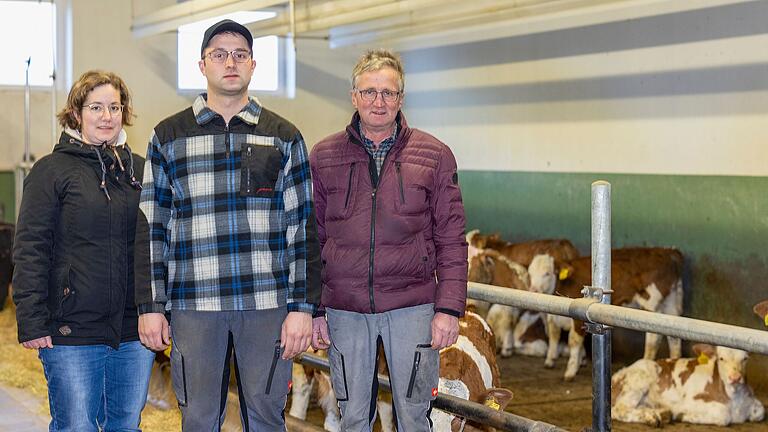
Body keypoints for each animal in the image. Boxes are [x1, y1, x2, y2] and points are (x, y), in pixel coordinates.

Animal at [528, 248, 684, 380]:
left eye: (547, 273)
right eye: (530, 273)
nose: (533, 289)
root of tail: (668, 251)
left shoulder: (577, 316)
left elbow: (573, 340)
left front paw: (571, 370)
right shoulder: (554, 317)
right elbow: (554, 334)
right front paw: (553, 360)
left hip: (650, 303)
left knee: (653, 336)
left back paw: (646, 361)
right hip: (670, 302)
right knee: (673, 336)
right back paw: (674, 361)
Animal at [608, 342, 764, 426]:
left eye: (745, 358)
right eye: (721, 358)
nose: (735, 377)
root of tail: (618, 374)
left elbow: (760, 411)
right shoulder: (689, 402)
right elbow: (723, 414)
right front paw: (683, 415)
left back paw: (660, 414)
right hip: (641, 377)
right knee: (619, 410)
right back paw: (650, 417)